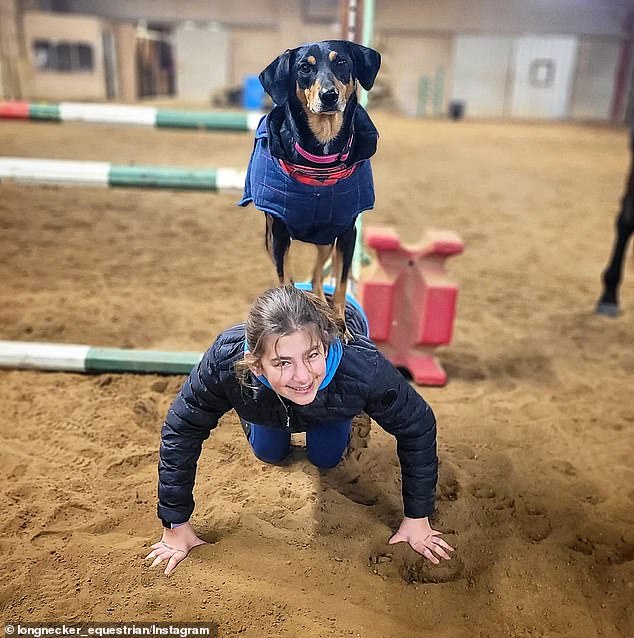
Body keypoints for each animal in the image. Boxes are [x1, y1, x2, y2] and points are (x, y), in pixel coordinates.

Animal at [239, 38, 380, 324]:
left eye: (342, 62)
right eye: (304, 67)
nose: (329, 95)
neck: (320, 163)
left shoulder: (347, 231)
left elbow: (341, 283)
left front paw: (341, 321)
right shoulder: (279, 232)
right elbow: (285, 279)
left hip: (326, 237)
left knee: (316, 277)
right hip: (273, 236)